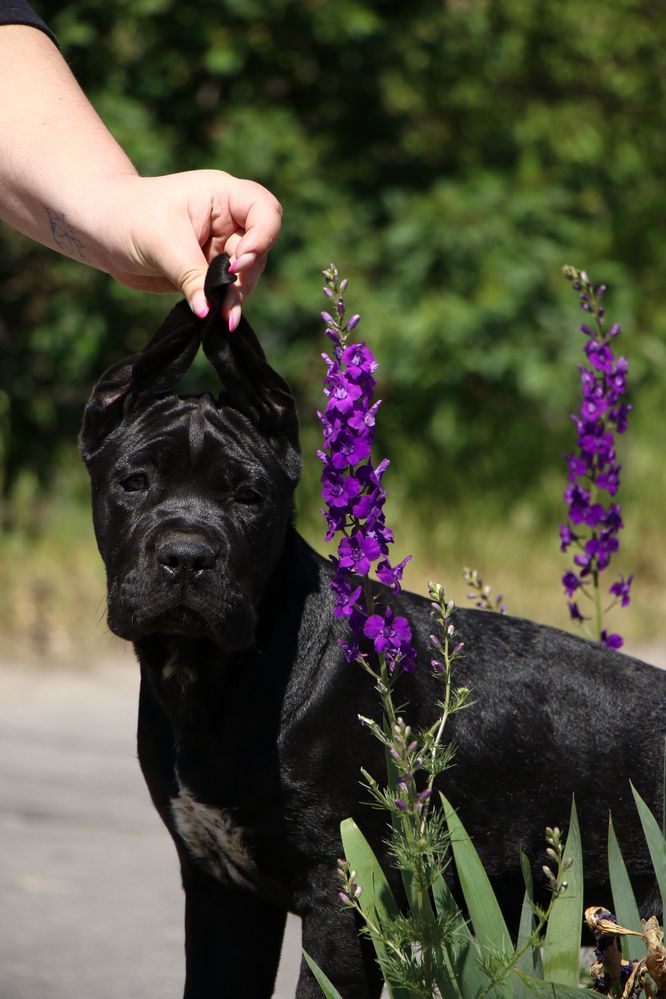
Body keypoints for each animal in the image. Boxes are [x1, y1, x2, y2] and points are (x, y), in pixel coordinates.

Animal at [79, 254, 664, 996]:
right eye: (134, 481)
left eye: (249, 496)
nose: (187, 557)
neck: (208, 680)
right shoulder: (222, 893)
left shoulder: (343, 896)